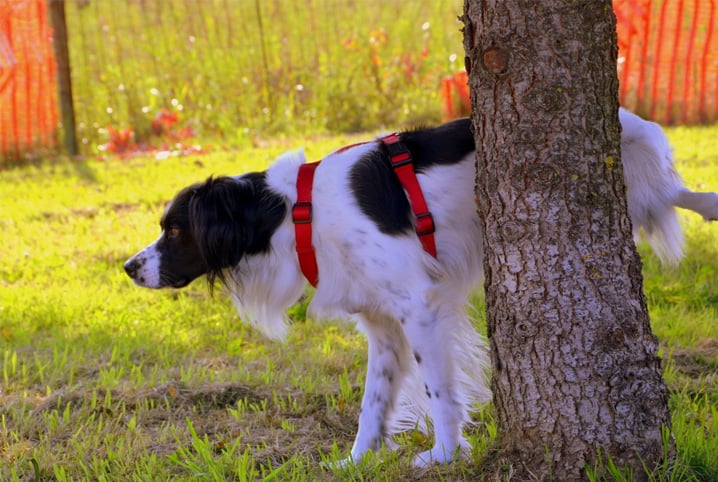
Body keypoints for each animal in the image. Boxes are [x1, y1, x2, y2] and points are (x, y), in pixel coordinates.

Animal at [124, 110, 718, 466]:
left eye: (174, 231)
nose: (129, 267)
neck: (296, 213)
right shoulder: (383, 325)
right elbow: (374, 403)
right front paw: (357, 462)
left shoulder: (419, 307)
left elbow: (439, 391)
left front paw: (446, 455)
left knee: (676, 191)